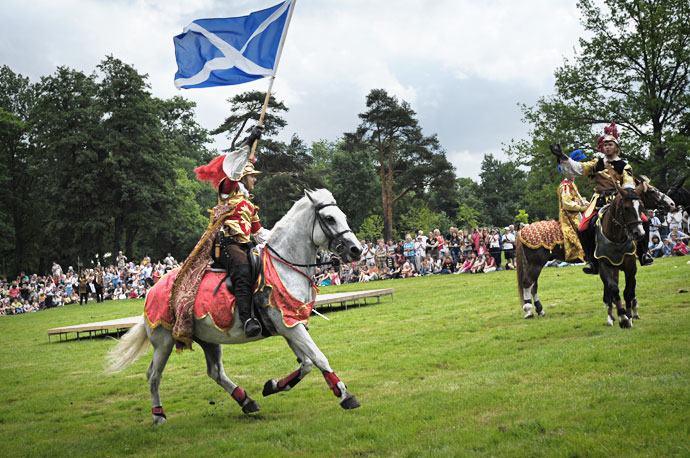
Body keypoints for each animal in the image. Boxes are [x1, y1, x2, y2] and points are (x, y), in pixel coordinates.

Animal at [105, 189, 362, 422]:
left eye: (342, 215)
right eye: (329, 218)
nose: (356, 250)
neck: (285, 265)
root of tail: (152, 289)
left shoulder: (290, 326)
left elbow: (307, 363)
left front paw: (273, 385)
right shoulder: (290, 326)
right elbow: (319, 358)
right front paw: (345, 395)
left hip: (208, 338)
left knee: (215, 371)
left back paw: (246, 400)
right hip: (164, 341)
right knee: (153, 375)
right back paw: (159, 415)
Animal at [516, 179, 672, 326]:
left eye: (640, 205)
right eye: (651, 190)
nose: (671, 203)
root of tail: (523, 229)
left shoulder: (617, 264)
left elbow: (616, 287)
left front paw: (618, 313)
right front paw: (627, 313)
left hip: (536, 264)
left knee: (533, 286)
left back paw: (539, 310)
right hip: (536, 263)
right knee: (527, 283)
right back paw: (529, 310)